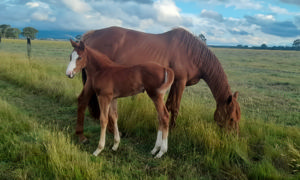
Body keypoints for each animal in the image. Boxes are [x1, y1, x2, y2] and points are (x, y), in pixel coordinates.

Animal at [78, 26, 241, 134]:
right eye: (232, 119)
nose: (234, 137)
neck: (192, 53)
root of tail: (91, 34)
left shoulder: (174, 83)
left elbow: (168, 105)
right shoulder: (180, 82)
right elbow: (175, 106)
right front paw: (173, 129)